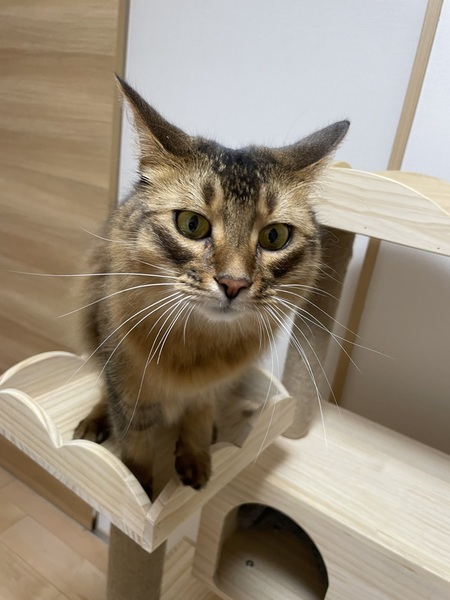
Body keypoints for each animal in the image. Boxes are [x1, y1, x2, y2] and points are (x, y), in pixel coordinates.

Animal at [74, 77, 349, 498]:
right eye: (191, 225)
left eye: (274, 236)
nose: (234, 282)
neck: (198, 348)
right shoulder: (126, 381)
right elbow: (136, 446)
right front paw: (142, 492)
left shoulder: (213, 388)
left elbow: (199, 418)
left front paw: (197, 461)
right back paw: (93, 421)